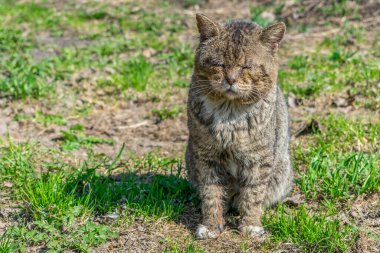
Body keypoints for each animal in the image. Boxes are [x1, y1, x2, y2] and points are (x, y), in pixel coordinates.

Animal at [186, 13, 292, 239]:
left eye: (246, 66)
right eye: (220, 64)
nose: (231, 79)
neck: (229, 114)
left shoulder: (258, 159)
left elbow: (252, 194)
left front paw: (250, 225)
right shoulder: (207, 157)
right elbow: (211, 194)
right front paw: (211, 225)